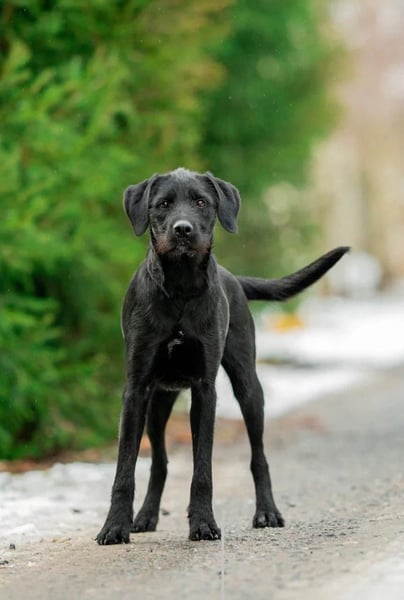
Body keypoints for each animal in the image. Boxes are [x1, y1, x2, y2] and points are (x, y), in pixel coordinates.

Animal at [96, 167, 349, 544]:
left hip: (249, 388)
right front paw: (114, 526)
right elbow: (125, 468)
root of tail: (236, 279)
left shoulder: (205, 389)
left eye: (201, 202)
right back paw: (145, 517)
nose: (182, 229)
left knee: (258, 456)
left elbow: (203, 467)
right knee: (160, 462)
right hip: (158, 402)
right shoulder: (136, 389)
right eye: (162, 204)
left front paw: (203, 522)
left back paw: (267, 512)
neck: (180, 289)